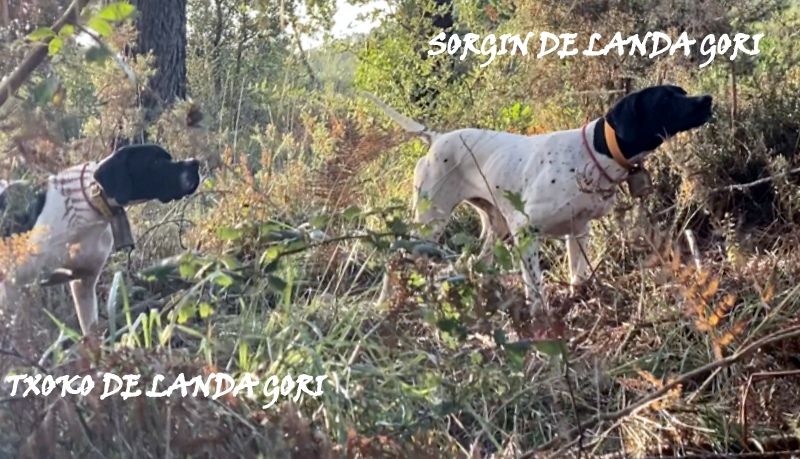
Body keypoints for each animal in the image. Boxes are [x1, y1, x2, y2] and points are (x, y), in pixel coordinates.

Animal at [372, 86, 716, 314]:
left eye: (682, 92)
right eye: (666, 98)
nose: (708, 99)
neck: (594, 153)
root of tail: (436, 137)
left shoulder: (579, 230)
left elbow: (578, 275)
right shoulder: (526, 231)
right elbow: (535, 287)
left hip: (495, 227)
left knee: (473, 262)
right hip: (429, 223)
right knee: (394, 259)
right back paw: (382, 305)